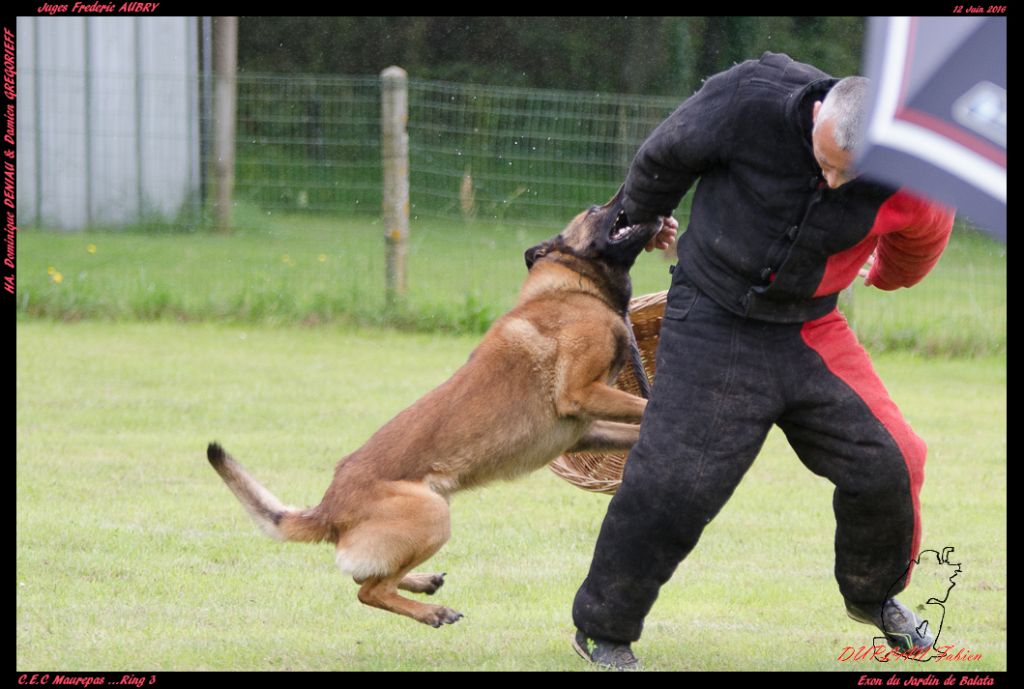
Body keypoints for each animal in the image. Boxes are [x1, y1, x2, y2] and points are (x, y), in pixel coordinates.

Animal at [207, 185, 663, 626]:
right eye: (595, 209)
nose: (634, 189)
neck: (574, 286)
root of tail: (328, 510)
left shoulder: (584, 431)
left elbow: (634, 425)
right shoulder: (580, 392)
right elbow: (644, 403)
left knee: (362, 575)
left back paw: (422, 583)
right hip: (432, 515)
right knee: (369, 590)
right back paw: (432, 612)